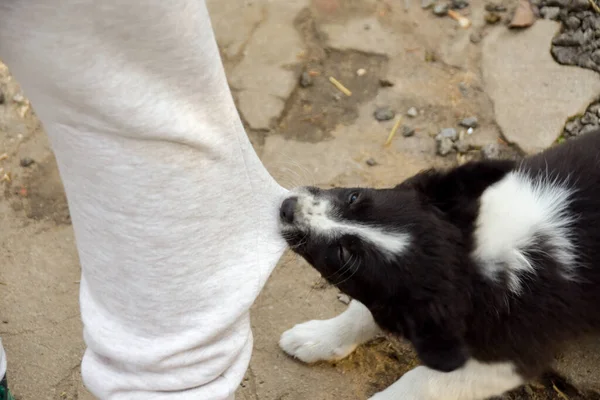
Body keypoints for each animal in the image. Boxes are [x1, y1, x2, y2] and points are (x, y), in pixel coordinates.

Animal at [278, 130, 600, 398]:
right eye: (354, 196)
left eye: (343, 255)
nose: (286, 207)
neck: (476, 251)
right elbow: (364, 312)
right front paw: (317, 338)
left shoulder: (510, 356)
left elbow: (424, 381)